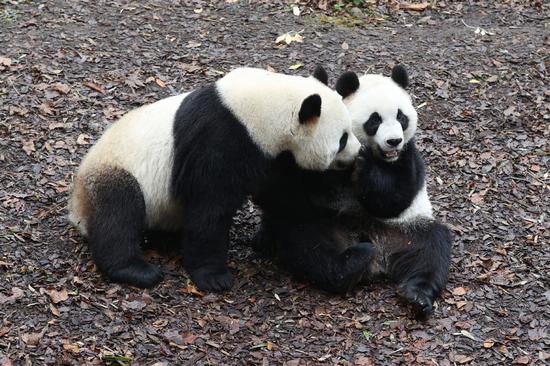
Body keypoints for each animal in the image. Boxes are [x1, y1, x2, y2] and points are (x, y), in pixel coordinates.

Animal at [68, 66, 362, 292]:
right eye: (342, 138)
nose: (359, 152)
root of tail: (75, 210)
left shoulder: (272, 157)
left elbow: (284, 200)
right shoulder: (221, 140)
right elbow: (210, 206)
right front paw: (214, 277)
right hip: (114, 171)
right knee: (118, 211)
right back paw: (136, 270)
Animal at [254, 65, 452, 318]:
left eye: (401, 117)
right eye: (375, 119)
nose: (394, 141)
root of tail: (380, 255)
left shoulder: (408, 157)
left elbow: (396, 197)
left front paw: (366, 167)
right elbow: (311, 192)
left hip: (405, 230)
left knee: (431, 248)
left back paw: (416, 296)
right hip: (328, 224)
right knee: (310, 243)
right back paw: (347, 268)